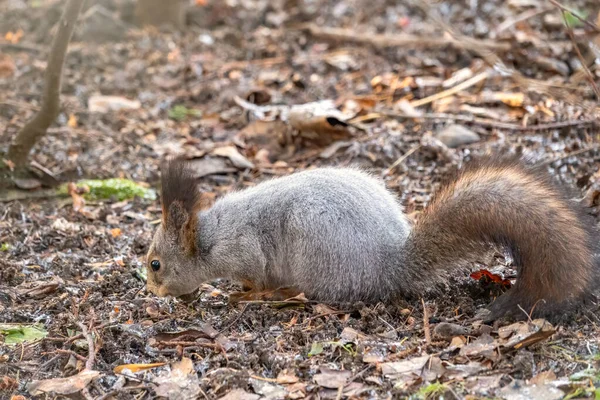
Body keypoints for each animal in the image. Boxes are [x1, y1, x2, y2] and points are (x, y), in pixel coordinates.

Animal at [145, 155, 600, 320]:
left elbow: (254, 276)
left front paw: (242, 294)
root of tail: (387, 263)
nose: (151, 289)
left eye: (155, 264)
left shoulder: (243, 250)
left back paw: (278, 295)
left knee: (311, 293)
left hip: (314, 248)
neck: (209, 239)